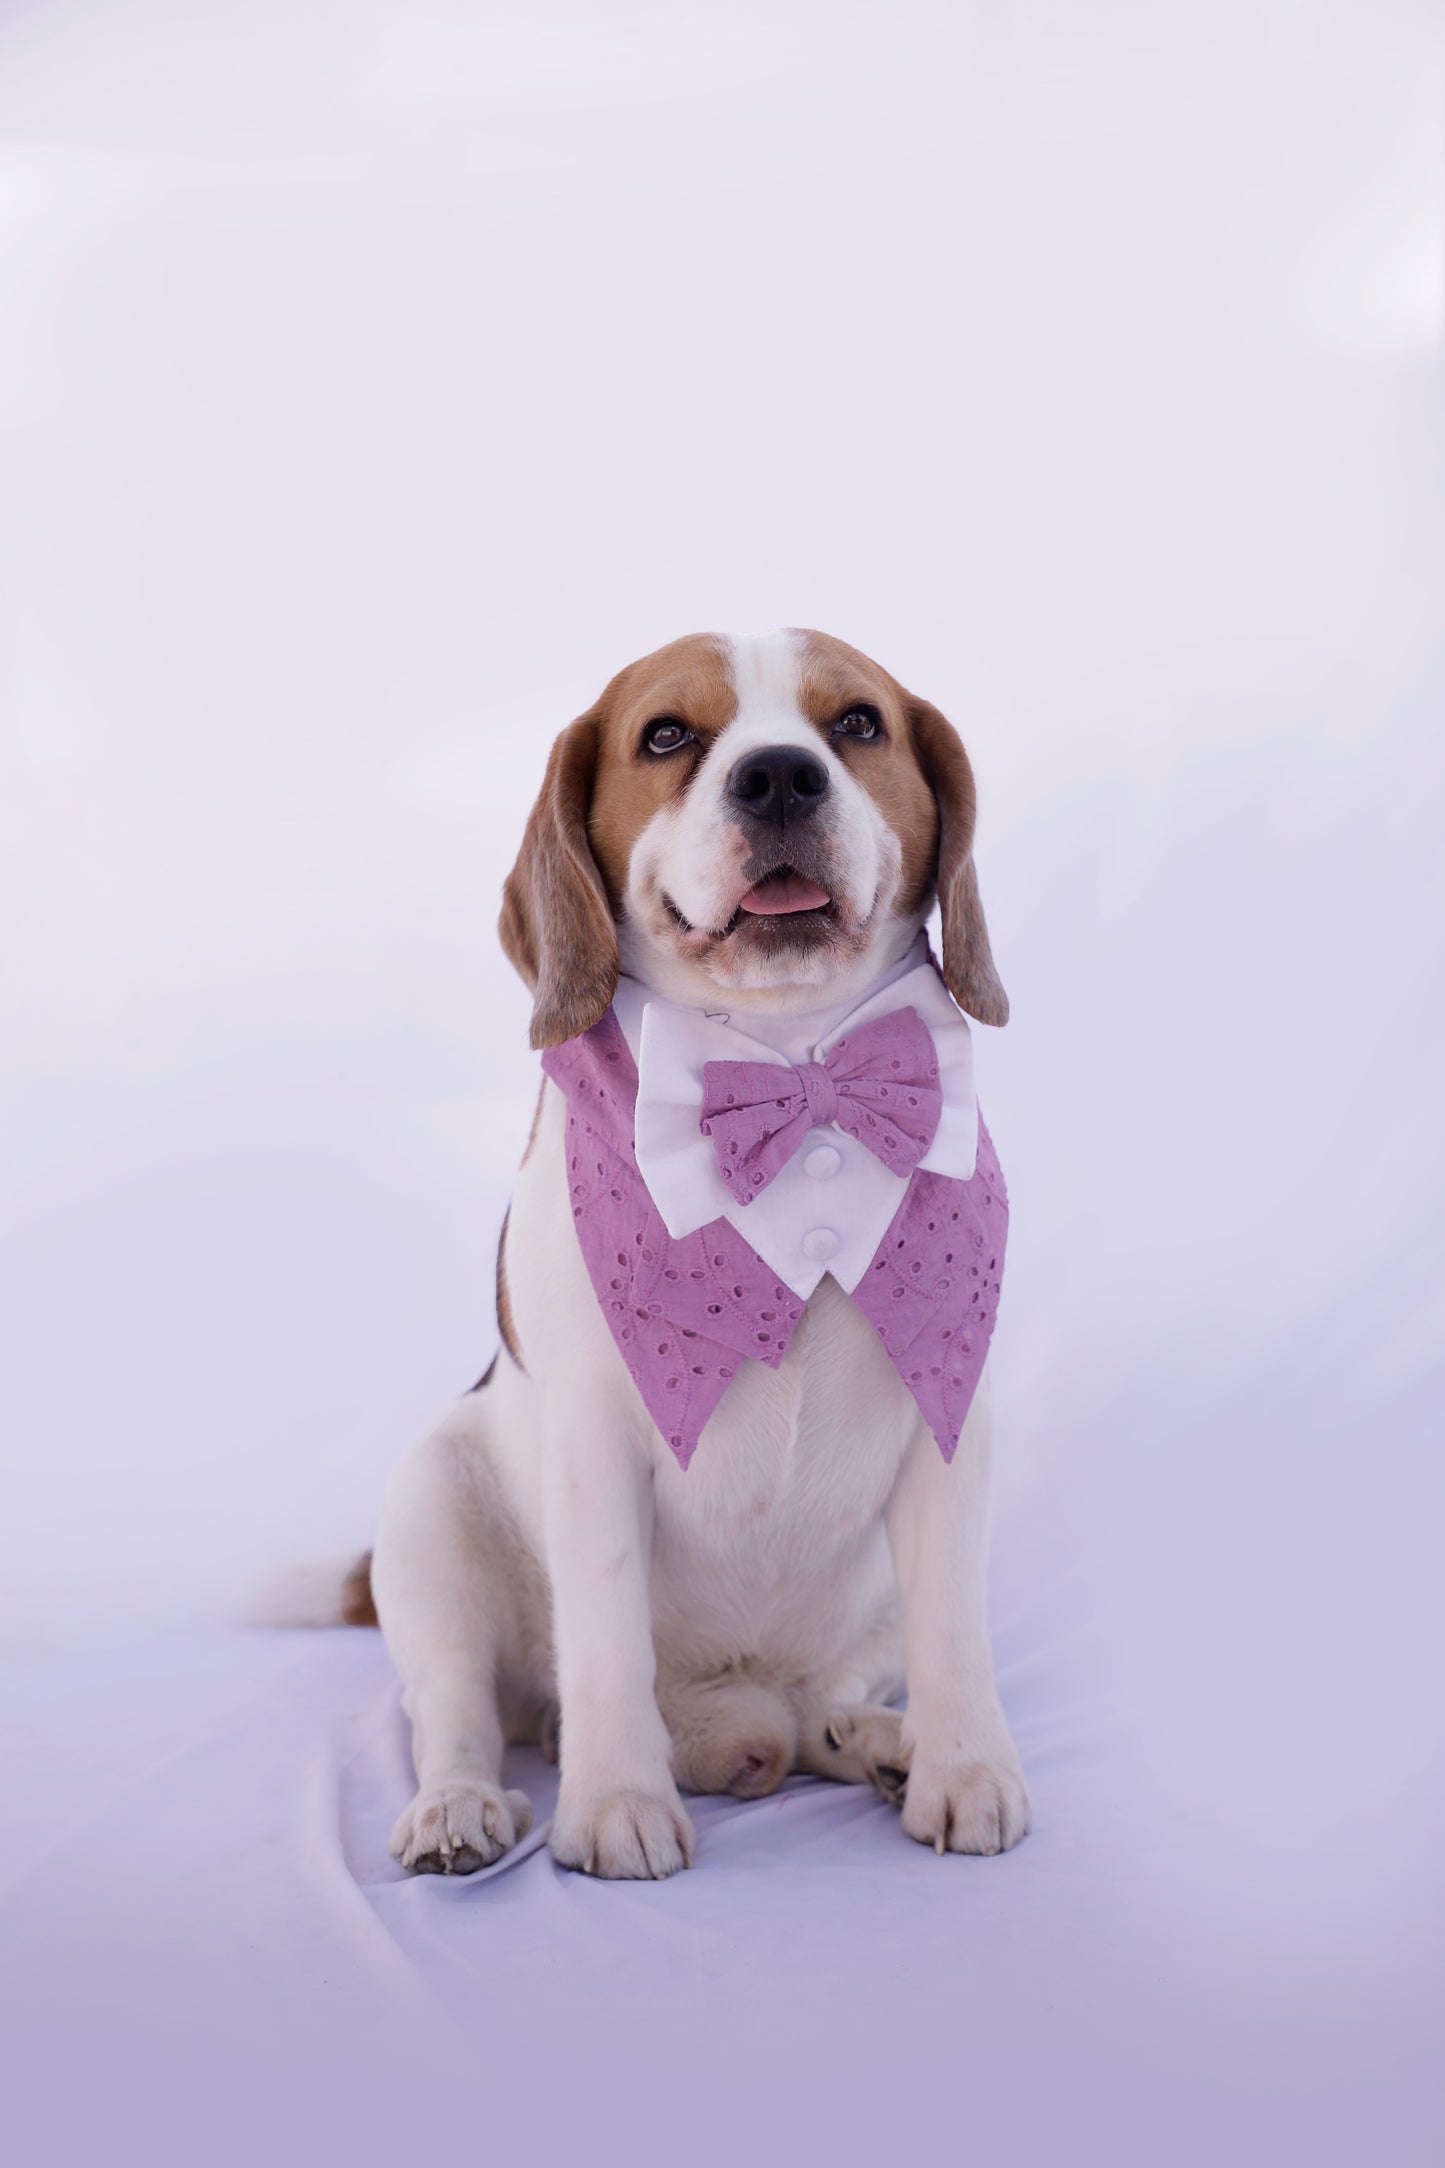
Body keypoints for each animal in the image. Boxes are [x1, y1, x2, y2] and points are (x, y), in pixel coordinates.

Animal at [368, 633, 1035, 1881]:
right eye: (667, 735)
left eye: (857, 722)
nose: (778, 776)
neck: (788, 1064)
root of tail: (730, 1715)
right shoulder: (591, 1446)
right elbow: (602, 1640)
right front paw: (613, 1800)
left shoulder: (947, 1420)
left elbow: (958, 1629)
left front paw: (963, 1764)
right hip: (428, 1511)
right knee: (458, 1709)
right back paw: (462, 1805)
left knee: (823, 1702)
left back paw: (871, 1738)